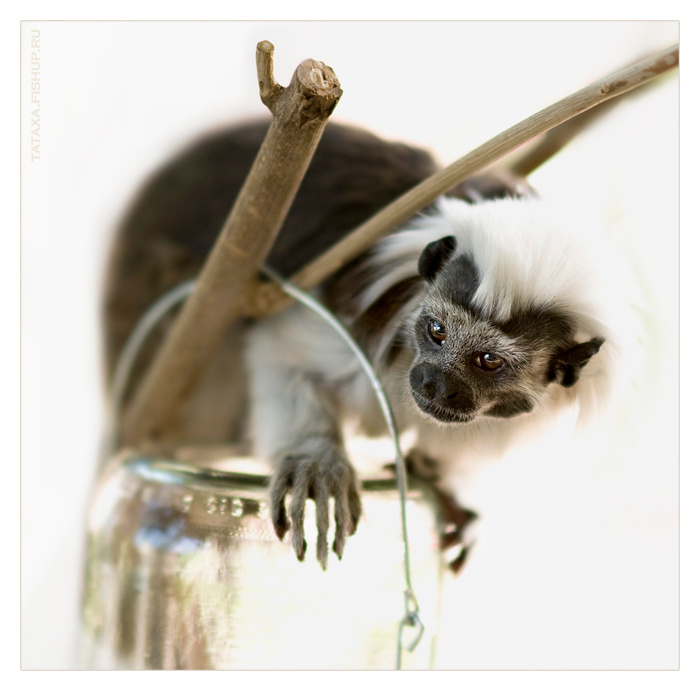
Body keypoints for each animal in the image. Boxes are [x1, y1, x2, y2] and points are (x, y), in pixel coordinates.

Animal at [104, 119, 639, 572]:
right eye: (436, 331)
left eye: (488, 361)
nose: (435, 384)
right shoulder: (348, 314)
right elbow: (281, 353)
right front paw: (317, 461)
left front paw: (441, 486)